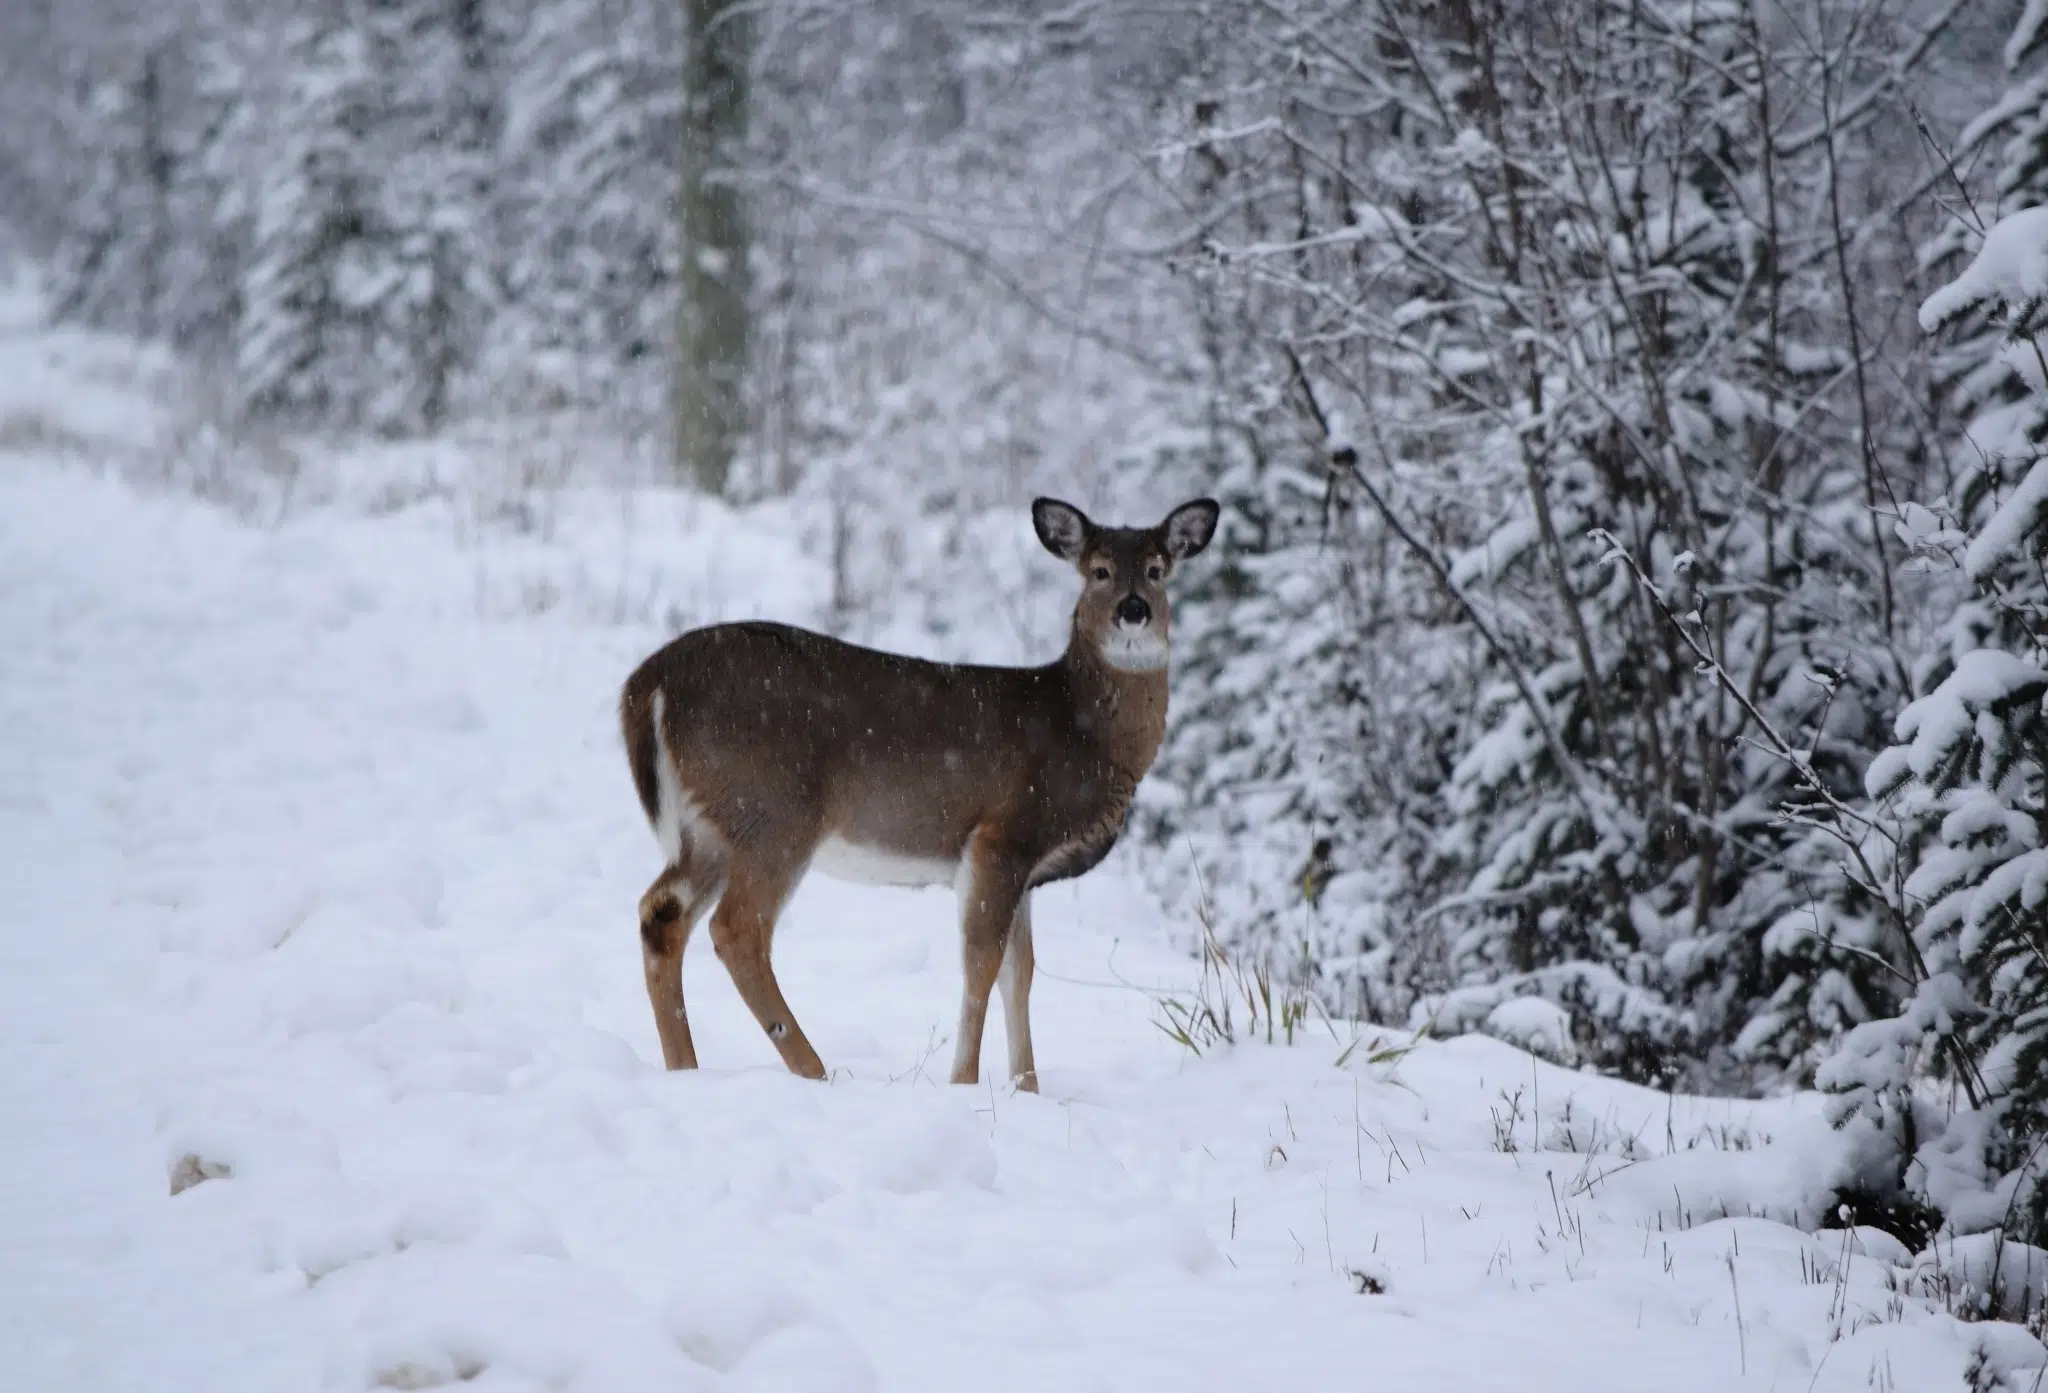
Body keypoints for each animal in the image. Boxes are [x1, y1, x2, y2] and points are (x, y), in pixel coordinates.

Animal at [610, 495, 1212, 1089]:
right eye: (1098, 570)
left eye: (1157, 570)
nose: (1133, 610)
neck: (1081, 730)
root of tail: (646, 685)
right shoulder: (1001, 837)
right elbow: (982, 964)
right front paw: (964, 1082)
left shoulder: (1025, 870)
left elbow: (1020, 973)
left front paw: (1028, 1090)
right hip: (772, 811)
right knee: (736, 928)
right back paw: (813, 1070)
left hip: (709, 827)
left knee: (661, 912)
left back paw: (685, 1069)